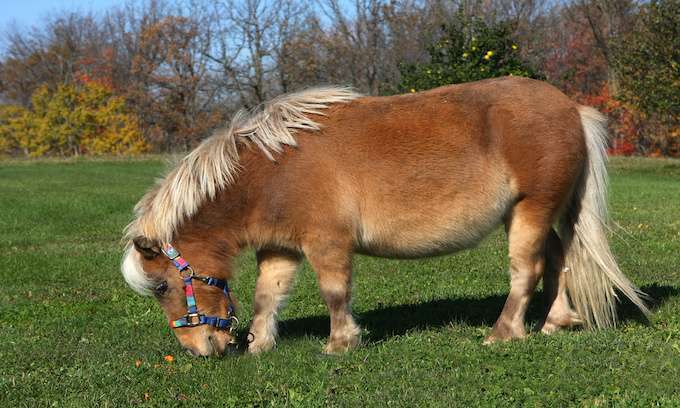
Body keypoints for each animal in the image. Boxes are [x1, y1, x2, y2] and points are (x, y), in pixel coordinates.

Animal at [121, 76, 648, 356]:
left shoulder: (327, 242)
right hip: (535, 214)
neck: (273, 169)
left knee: (528, 270)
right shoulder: (280, 248)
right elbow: (267, 297)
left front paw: (340, 343)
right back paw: (555, 321)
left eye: (163, 285)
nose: (199, 349)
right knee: (559, 259)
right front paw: (259, 345)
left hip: (531, 212)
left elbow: (335, 293)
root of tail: (571, 108)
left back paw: (502, 333)